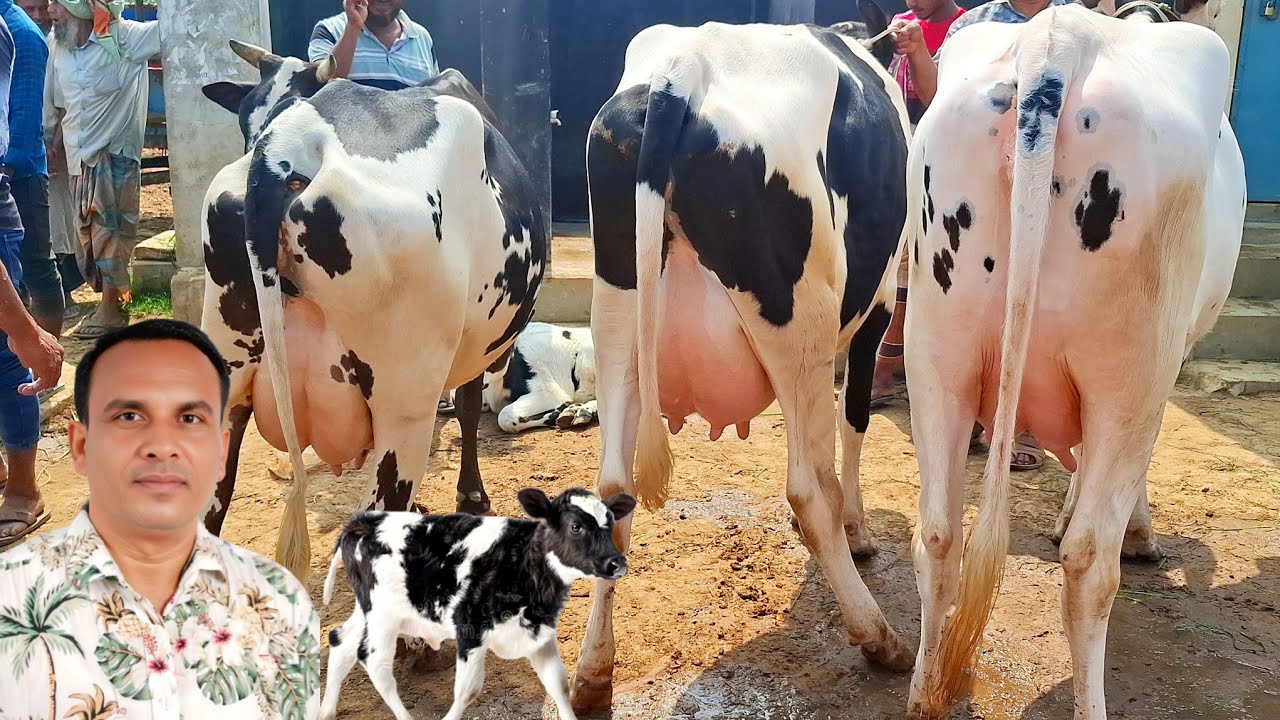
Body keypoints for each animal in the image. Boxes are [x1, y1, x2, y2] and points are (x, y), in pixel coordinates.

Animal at [197, 42, 547, 580]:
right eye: (242, 117)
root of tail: (284, 149)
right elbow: (468, 409)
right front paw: (473, 498)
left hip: (222, 384)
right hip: (403, 409)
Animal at [318, 487, 636, 720]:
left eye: (610, 524)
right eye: (575, 527)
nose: (617, 563)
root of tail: (363, 520)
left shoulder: (539, 633)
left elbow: (558, 683)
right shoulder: (470, 629)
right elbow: (468, 690)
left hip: (372, 610)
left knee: (340, 640)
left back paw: (325, 712)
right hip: (383, 616)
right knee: (374, 661)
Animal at [569, 2, 916, 711]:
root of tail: (682, 69)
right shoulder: (876, 310)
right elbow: (855, 420)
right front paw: (861, 532)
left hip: (618, 312)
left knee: (612, 490)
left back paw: (592, 673)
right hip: (800, 321)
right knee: (806, 489)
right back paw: (879, 637)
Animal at [901, 5, 1245, 718]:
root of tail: (1057, 39)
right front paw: (1135, 532)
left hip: (937, 351)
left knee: (940, 534)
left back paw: (922, 693)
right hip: (1132, 370)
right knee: (1090, 564)